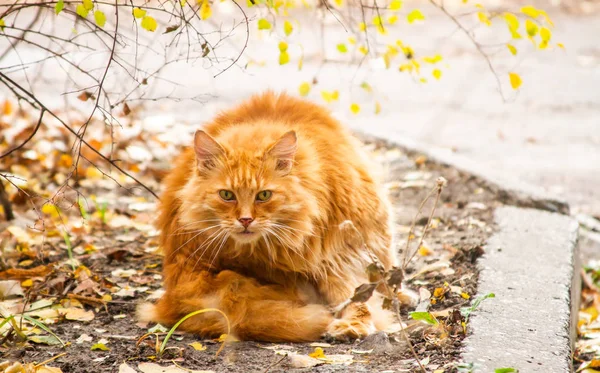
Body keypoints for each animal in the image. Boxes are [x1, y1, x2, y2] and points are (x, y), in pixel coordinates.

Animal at [139, 91, 404, 342]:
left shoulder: (337, 251)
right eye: (227, 195)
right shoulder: (331, 256)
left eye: (264, 195)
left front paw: (354, 323)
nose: (245, 220)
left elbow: (356, 293)